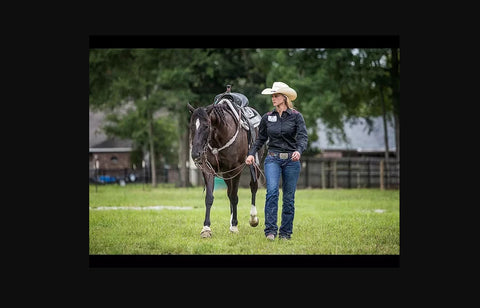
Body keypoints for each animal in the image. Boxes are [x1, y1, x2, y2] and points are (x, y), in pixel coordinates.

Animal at [188, 100, 264, 237]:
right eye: (191, 126)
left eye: (206, 126)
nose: (195, 154)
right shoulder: (208, 169)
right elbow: (209, 197)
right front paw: (206, 228)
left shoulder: (236, 169)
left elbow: (234, 196)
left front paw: (234, 226)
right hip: (226, 174)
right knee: (229, 192)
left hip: (255, 166)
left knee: (253, 187)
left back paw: (253, 218)